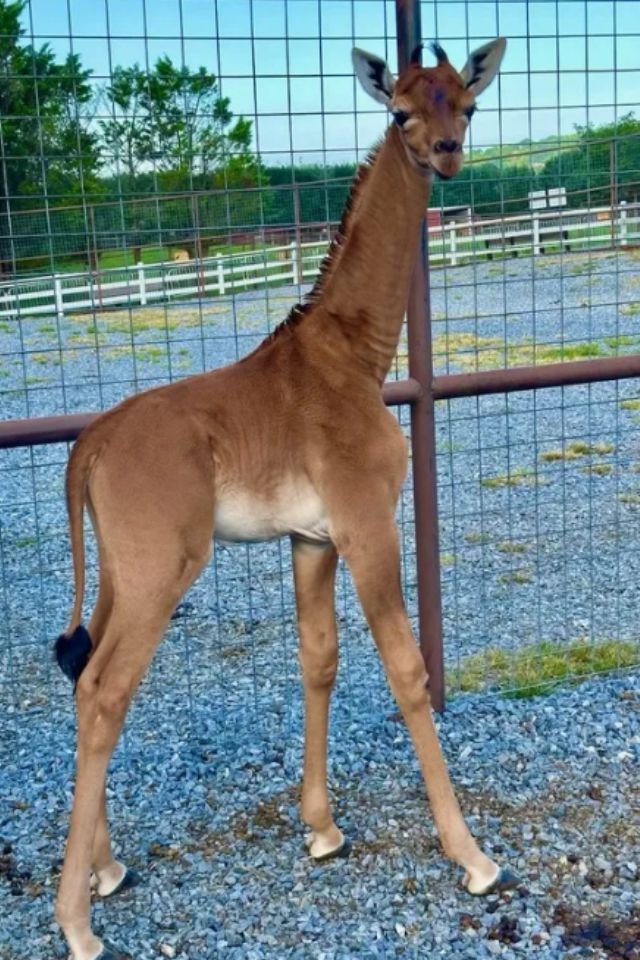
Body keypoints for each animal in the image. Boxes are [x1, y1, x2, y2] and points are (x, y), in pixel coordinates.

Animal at [56, 41, 516, 960]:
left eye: (468, 104)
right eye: (400, 112)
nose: (447, 154)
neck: (356, 357)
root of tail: (90, 443)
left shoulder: (313, 538)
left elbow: (319, 658)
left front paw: (323, 829)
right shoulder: (368, 524)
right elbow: (407, 670)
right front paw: (473, 856)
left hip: (122, 572)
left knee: (85, 673)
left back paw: (106, 869)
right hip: (162, 570)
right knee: (104, 692)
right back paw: (76, 923)